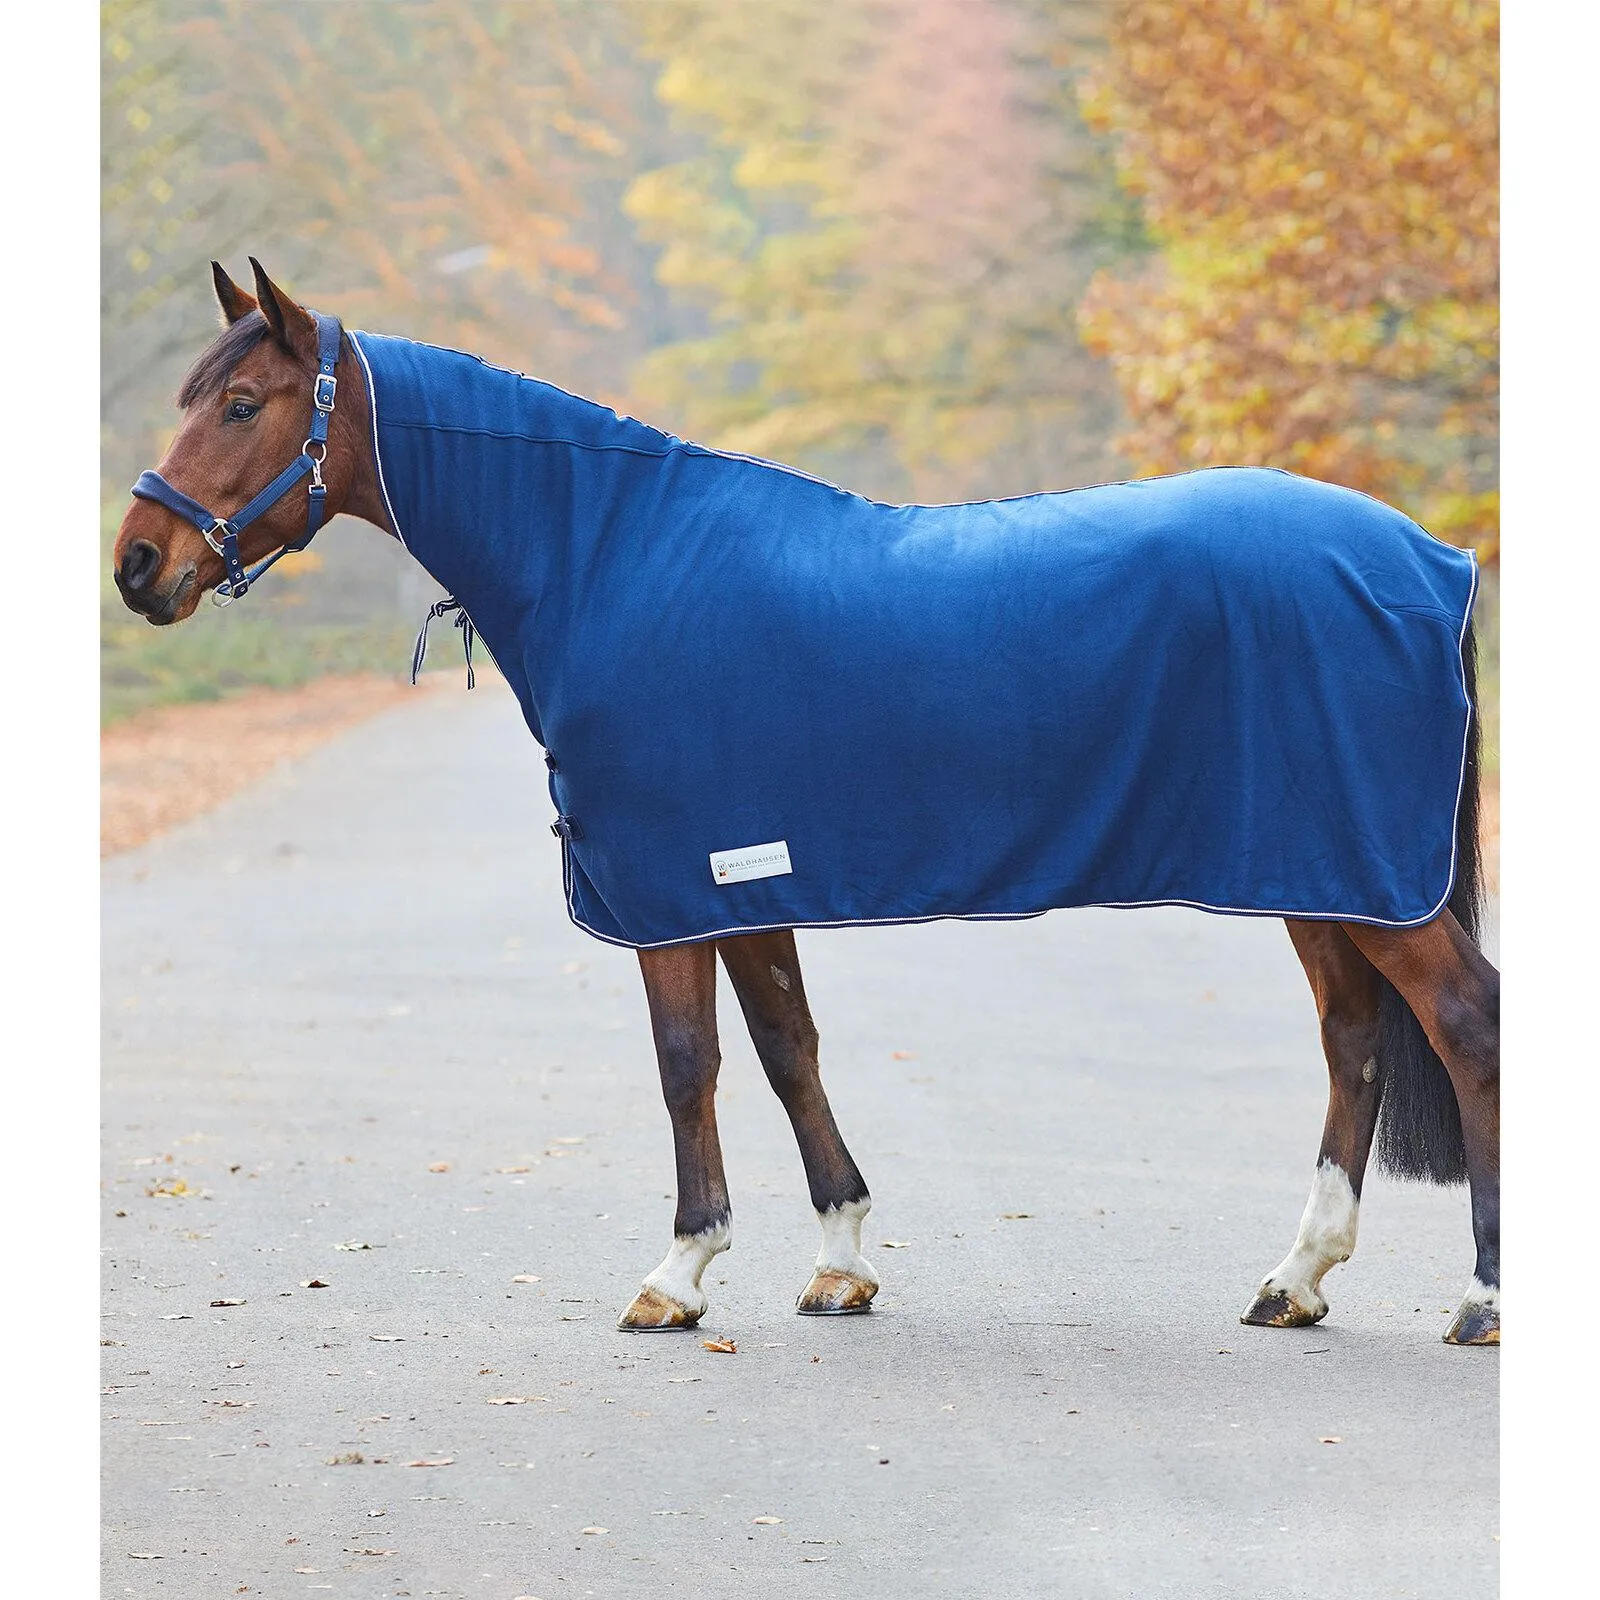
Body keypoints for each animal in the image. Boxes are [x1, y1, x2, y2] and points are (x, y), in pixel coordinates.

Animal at [112, 261, 1500, 1347]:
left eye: (241, 403)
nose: (137, 564)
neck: (617, 560)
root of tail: (1432, 558)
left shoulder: (669, 884)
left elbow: (689, 1064)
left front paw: (678, 1273)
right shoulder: (744, 875)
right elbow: (788, 1050)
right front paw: (840, 1260)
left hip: (1366, 877)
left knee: (1464, 1022)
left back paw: (1482, 1297)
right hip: (1322, 876)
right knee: (1354, 1043)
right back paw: (1295, 1280)